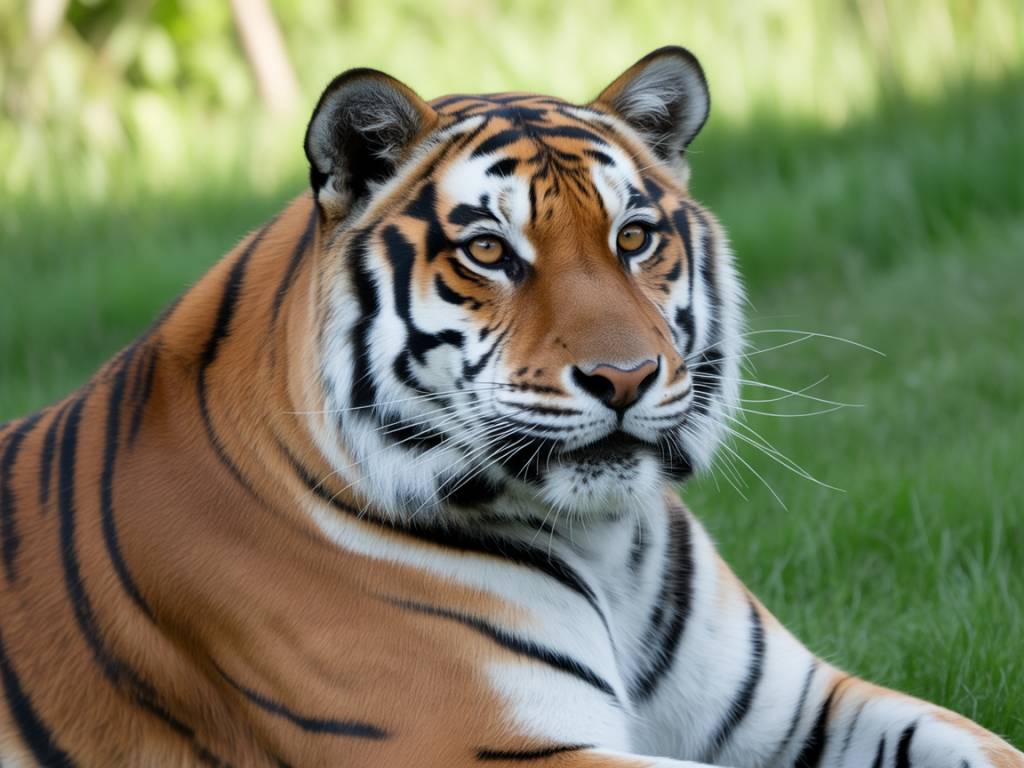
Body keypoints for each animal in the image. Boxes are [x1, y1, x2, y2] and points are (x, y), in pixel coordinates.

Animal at [0, 45, 1020, 768]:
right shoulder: (483, 746)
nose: (625, 377)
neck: (604, 544)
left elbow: (980, 741)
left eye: (634, 237)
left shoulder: (798, 706)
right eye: (489, 252)